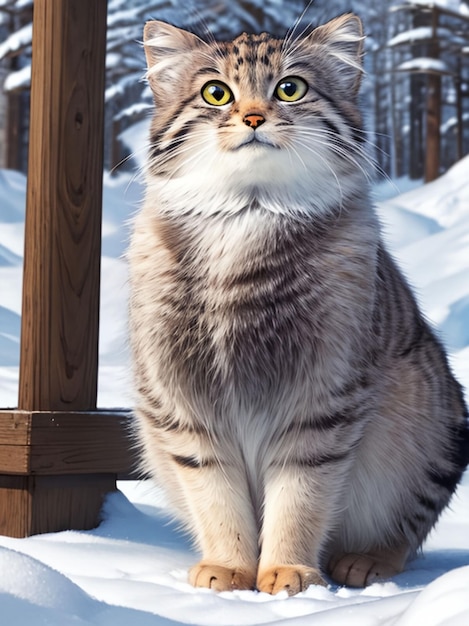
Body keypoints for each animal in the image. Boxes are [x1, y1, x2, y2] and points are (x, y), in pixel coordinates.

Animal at [126, 12, 466, 592]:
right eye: (216, 93)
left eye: (290, 88)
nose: (253, 117)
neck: (246, 217)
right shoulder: (183, 402)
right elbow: (216, 496)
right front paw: (228, 568)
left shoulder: (322, 398)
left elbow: (300, 498)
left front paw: (288, 572)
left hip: (432, 424)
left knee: (402, 532)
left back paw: (365, 562)